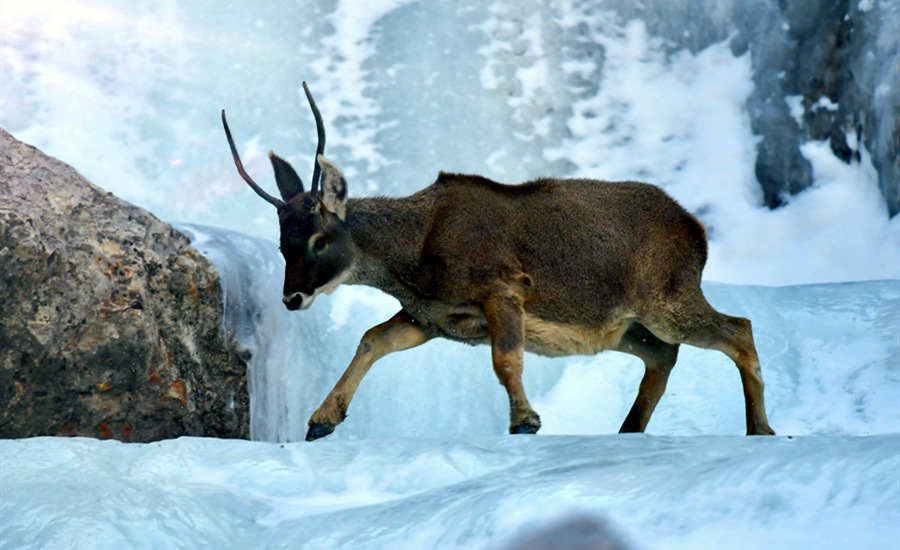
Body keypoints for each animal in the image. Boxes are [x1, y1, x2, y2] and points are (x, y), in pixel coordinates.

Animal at [223, 83, 772, 444]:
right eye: (281, 244)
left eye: (319, 240)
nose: (292, 297)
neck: (411, 263)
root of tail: (698, 231)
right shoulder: (434, 318)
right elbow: (371, 340)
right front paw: (321, 418)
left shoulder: (503, 286)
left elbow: (506, 359)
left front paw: (525, 421)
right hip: (628, 326)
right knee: (664, 356)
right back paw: (628, 430)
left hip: (667, 298)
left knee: (739, 328)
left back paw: (759, 427)